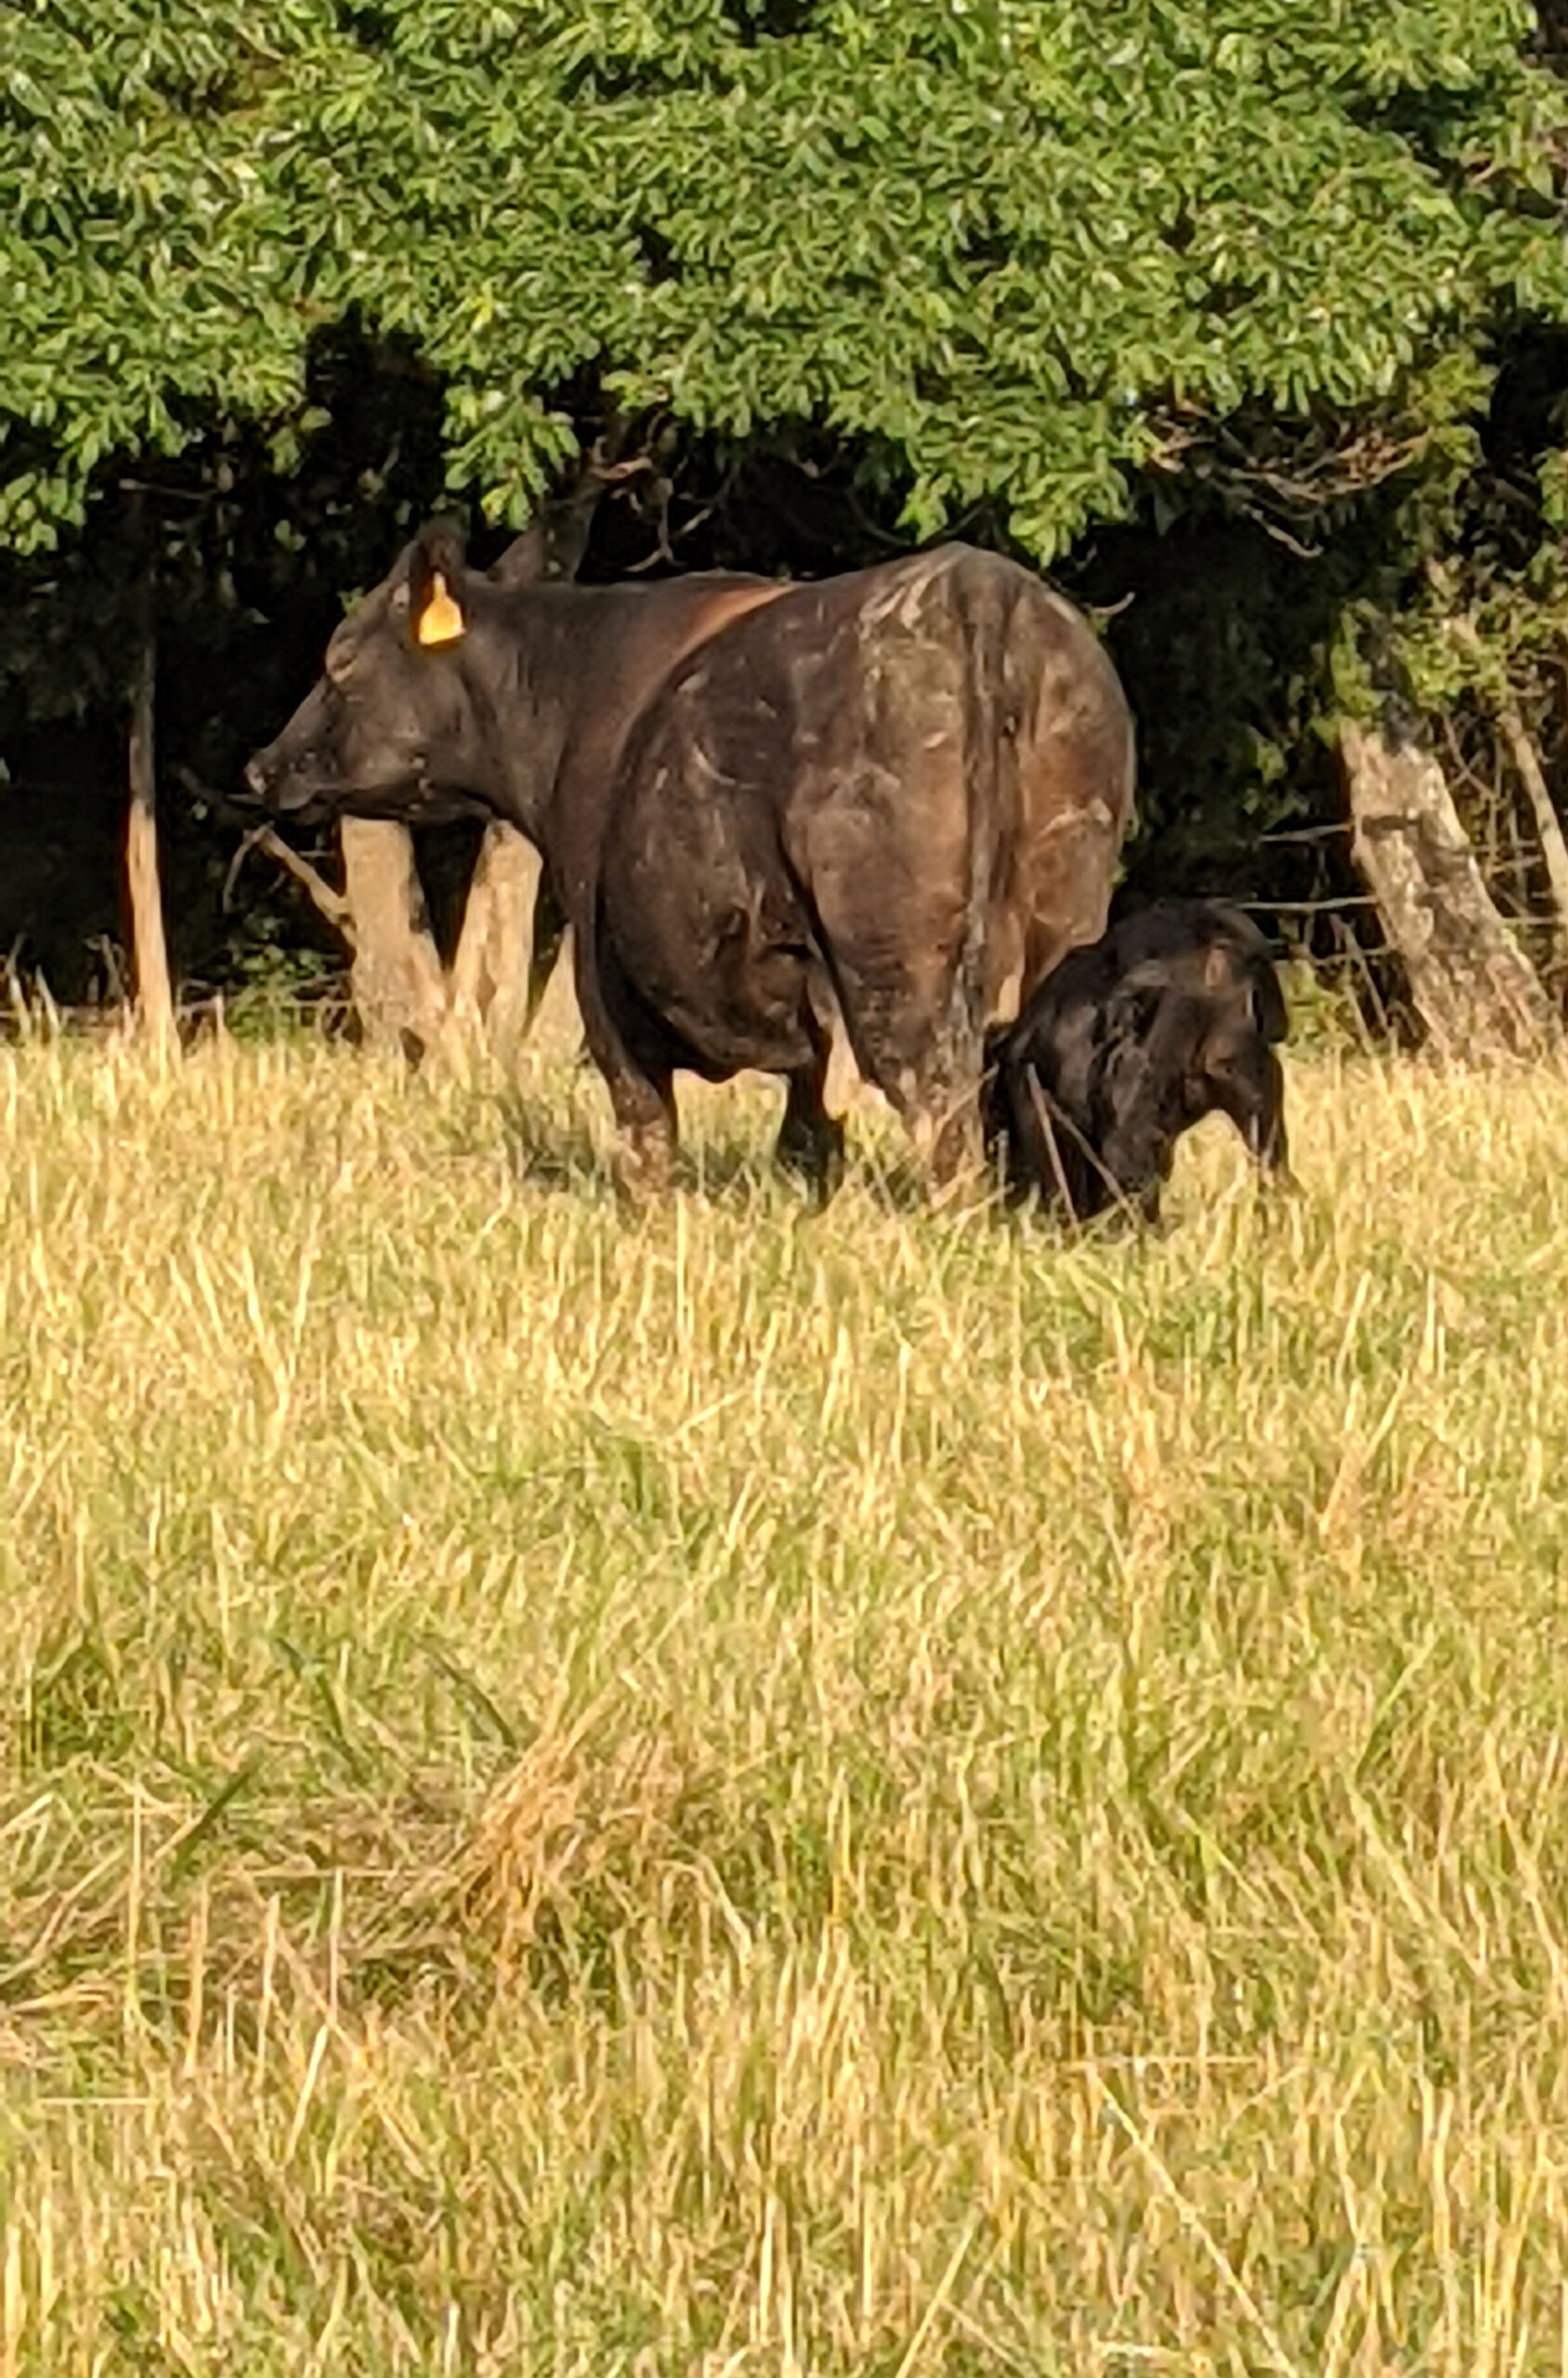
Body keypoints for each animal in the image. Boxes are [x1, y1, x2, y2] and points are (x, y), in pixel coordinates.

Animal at [244, 513, 1132, 1198]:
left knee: (941, 1112)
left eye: (341, 661)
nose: (263, 765)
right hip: (1057, 929)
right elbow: (809, 1130)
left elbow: (646, 1128)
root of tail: (976, 583)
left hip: (896, 969)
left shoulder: (602, 980)